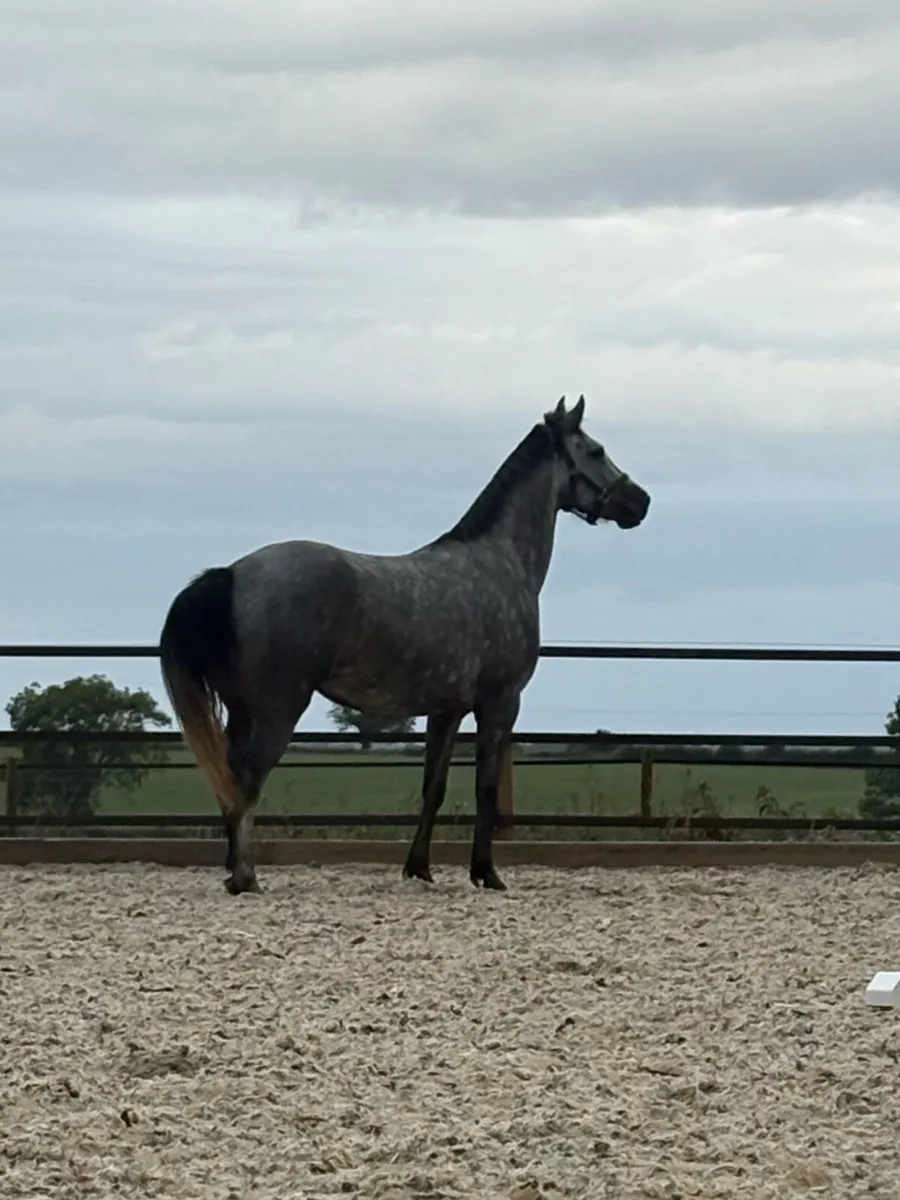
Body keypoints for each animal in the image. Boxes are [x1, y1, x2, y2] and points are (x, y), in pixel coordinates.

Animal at [159, 395, 651, 895]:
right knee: (247, 778)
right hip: (278, 711)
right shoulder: (500, 703)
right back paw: (246, 877)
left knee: (228, 777)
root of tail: (232, 574)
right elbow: (486, 789)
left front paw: (419, 868)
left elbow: (433, 788)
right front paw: (486, 872)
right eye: (595, 450)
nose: (641, 502)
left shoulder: (446, 710)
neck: (500, 562)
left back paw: (231, 870)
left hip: (241, 711)